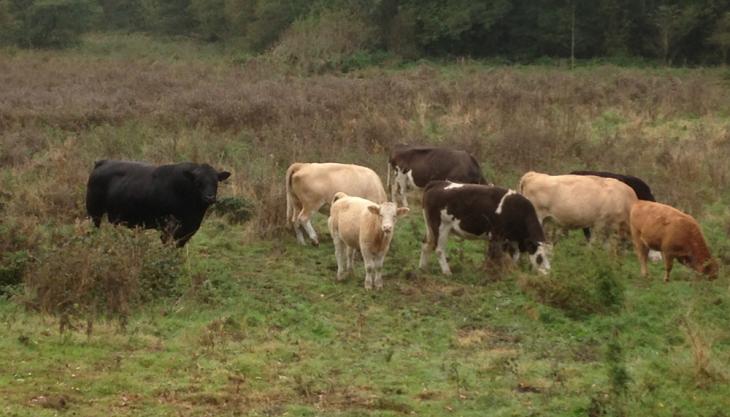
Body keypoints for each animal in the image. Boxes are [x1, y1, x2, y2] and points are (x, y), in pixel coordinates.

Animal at [84, 158, 230, 245]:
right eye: (198, 182)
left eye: (216, 182)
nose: (209, 197)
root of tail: (103, 162)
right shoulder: (167, 230)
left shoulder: (187, 232)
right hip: (94, 212)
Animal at [418, 180, 548, 274]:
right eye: (540, 257)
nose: (547, 273)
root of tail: (438, 183)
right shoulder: (496, 236)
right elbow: (493, 256)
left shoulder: (512, 240)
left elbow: (514, 256)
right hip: (441, 227)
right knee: (439, 249)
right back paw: (447, 272)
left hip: (430, 227)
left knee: (426, 244)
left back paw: (423, 268)